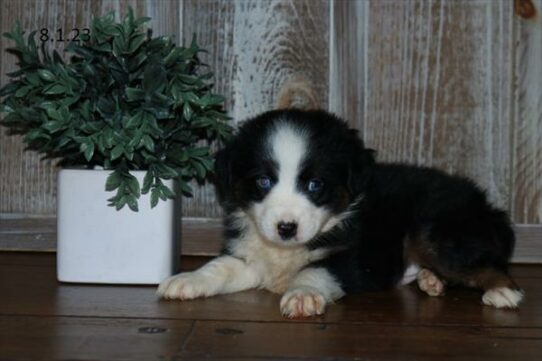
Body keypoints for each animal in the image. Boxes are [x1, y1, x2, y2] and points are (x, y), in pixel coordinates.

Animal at [158, 109, 528, 316]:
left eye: (315, 185)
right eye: (263, 181)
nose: (286, 228)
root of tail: (484, 203)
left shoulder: (349, 257)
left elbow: (314, 271)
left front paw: (302, 295)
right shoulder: (250, 255)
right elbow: (221, 266)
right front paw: (187, 280)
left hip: (434, 229)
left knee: (488, 265)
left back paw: (503, 291)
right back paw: (430, 280)